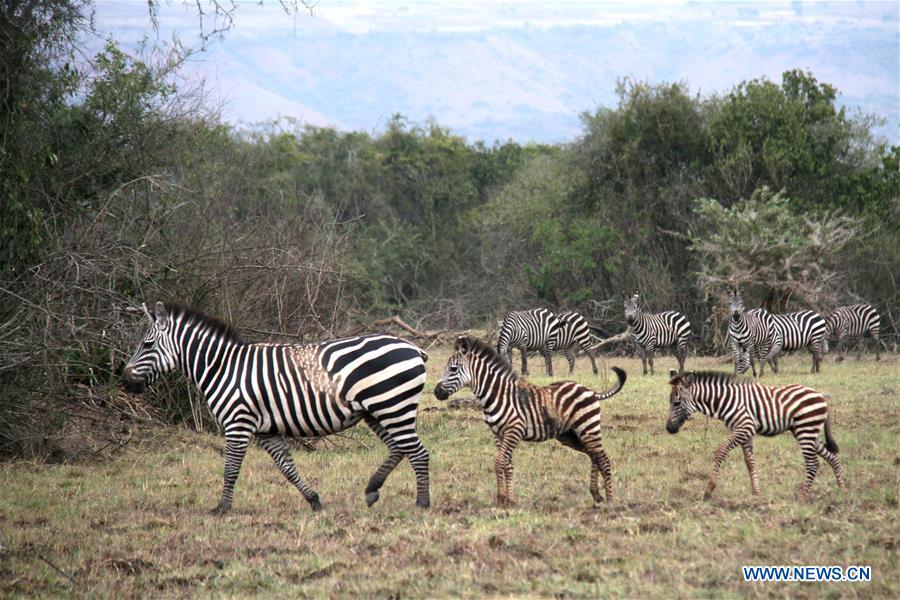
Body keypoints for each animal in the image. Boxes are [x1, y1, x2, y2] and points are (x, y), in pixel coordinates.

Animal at [121, 302, 430, 512]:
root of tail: (413, 347)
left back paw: (422, 503)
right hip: (378, 410)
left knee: (418, 453)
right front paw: (314, 501)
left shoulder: (238, 423)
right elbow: (287, 468)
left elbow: (231, 468)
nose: (124, 381)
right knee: (399, 448)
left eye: (147, 345)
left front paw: (222, 509)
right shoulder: (265, 430)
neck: (222, 368)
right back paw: (372, 489)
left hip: (392, 405)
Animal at [432, 336, 624, 508]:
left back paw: (610, 502)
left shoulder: (514, 430)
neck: (497, 395)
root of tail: (591, 391)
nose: (436, 392)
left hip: (588, 428)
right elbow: (507, 465)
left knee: (603, 459)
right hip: (571, 435)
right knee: (594, 455)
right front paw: (509, 500)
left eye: (453, 369)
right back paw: (596, 494)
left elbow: (499, 462)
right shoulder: (499, 434)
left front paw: (501, 499)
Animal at [664, 370, 848, 502]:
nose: (669, 429)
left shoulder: (744, 427)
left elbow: (721, 451)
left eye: (677, 403)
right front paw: (756, 493)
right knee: (831, 457)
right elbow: (750, 463)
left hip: (806, 429)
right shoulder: (746, 432)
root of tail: (821, 396)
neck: (726, 401)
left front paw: (708, 491)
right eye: (670, 401)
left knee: (813, 464)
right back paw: (842, 490)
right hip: (806, 432)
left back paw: (802, 499)